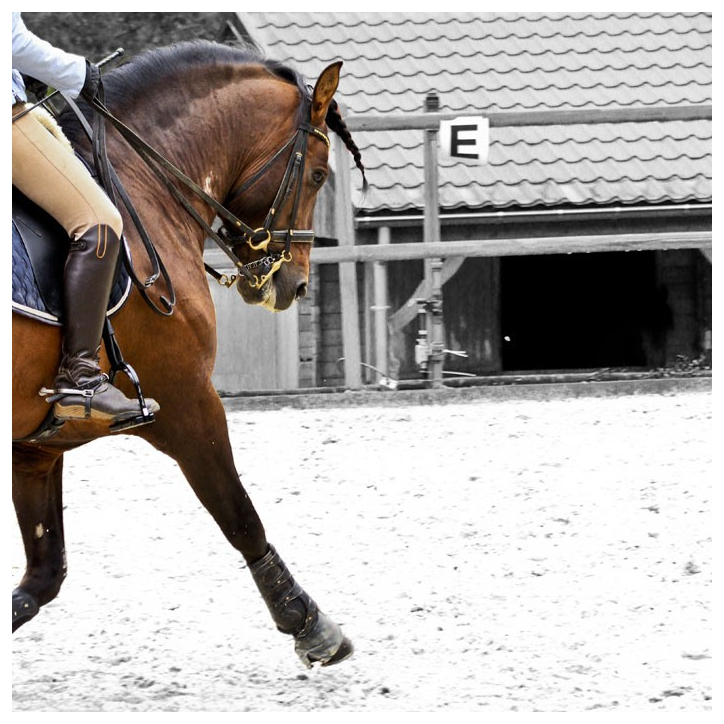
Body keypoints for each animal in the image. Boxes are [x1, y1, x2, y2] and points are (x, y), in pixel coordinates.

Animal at [12, 40, 365, 669]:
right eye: (319, 174)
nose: (294, 284)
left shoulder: (36, 444)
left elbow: (41, 578)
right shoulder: (186, 402)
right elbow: (240, 515)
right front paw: (310, 625)